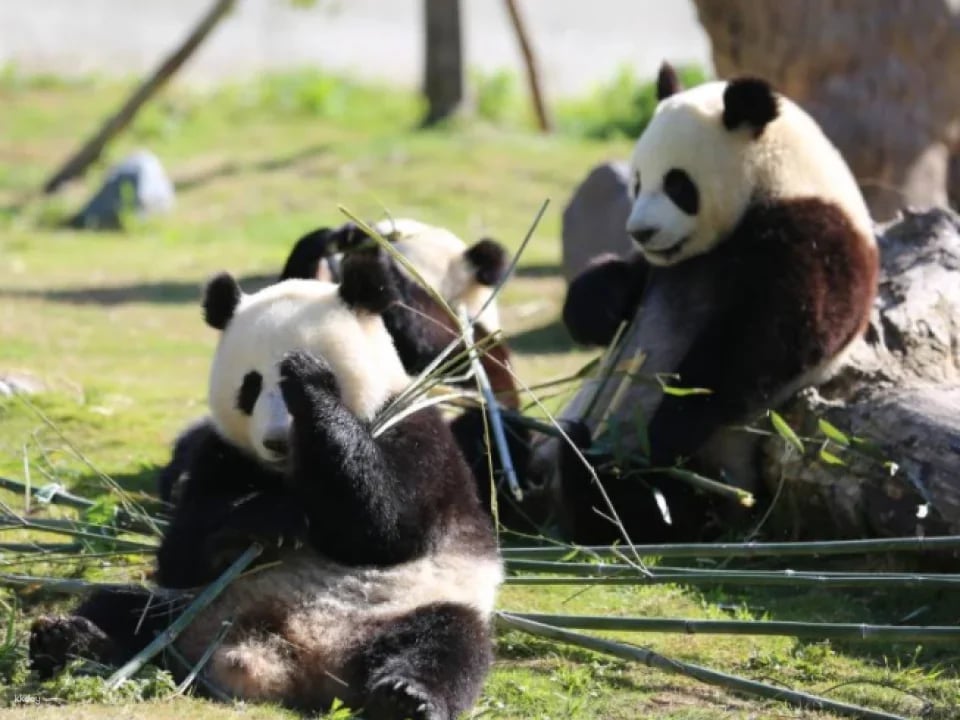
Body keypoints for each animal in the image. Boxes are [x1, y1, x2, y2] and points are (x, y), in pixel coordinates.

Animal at [30, 251, 503, 720]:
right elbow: (181, 550)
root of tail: (293, 662)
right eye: (251, 386)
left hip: (407, 606)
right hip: (196, 605)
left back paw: (405, 696)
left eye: (324, 380)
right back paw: (70, 640)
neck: (293, 470)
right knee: (130, 608)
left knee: (447, 642)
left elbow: (389, 525)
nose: (277, 441)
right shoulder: (220, 455)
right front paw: (270, 518)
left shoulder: (418, 433)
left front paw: (310, 382)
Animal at [556, 65, 880, 543]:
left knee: (649, 506)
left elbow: (762, 343)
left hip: (716, 471)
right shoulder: (662, 267)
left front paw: (668, 424)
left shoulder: (817, 238)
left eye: (677, 185)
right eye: (637, 181)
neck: (781, 179)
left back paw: (586, 466)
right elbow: (616, 288)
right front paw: (600, 305)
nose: (641, 231)